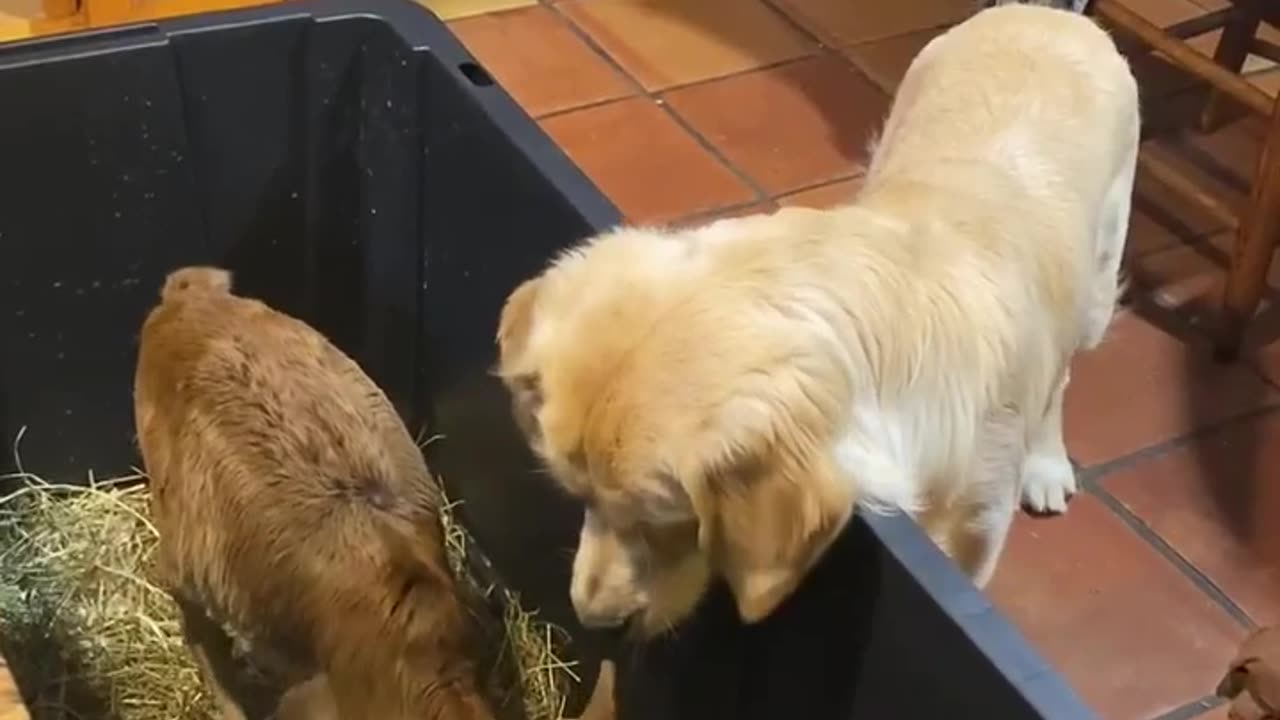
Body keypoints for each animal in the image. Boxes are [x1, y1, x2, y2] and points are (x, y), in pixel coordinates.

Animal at [494, 4, 1136, 632]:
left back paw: (1048, 465)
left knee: (1066, 374)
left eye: (664, 521)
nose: (593, 619)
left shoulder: (977, 522)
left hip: (1100, 285)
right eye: (582, 499)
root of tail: (1047, 12)